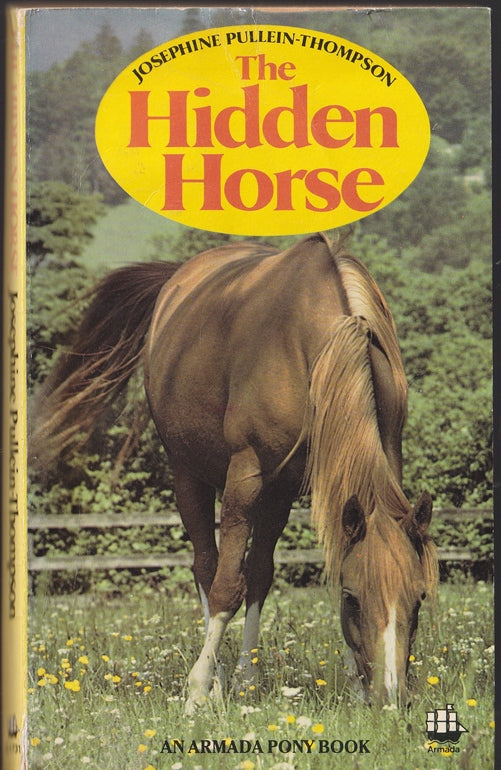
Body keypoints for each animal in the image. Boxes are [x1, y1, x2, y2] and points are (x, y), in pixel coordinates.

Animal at [31, 232, 437, 709]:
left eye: (419, 599)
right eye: (353, 599)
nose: (391, 699)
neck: (314, 350)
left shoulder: (302, 484)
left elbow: (266, 575)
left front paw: (352, 687)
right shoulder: (245, 478)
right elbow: (227, 585)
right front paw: (197, 690)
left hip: (275, 495)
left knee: (258, 574)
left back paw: (246, 677)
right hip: (189, 475)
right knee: (206, 567)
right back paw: (218, 680)